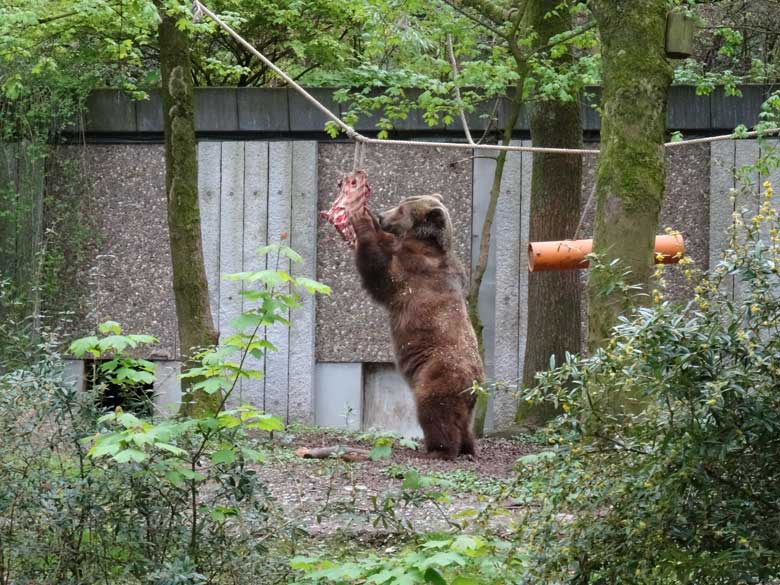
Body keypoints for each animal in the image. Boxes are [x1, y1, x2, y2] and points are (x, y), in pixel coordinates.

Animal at [348, 189, 482, 458]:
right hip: (467, 397)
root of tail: (474, 383)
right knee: (464, 421)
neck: (426, 243)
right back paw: (467, 448)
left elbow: (380, 272)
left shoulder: (413, 272)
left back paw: (440, 449)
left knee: (434, 409)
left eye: (402, 210)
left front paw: (360, 218)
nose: (381, 215)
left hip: (438, 372)